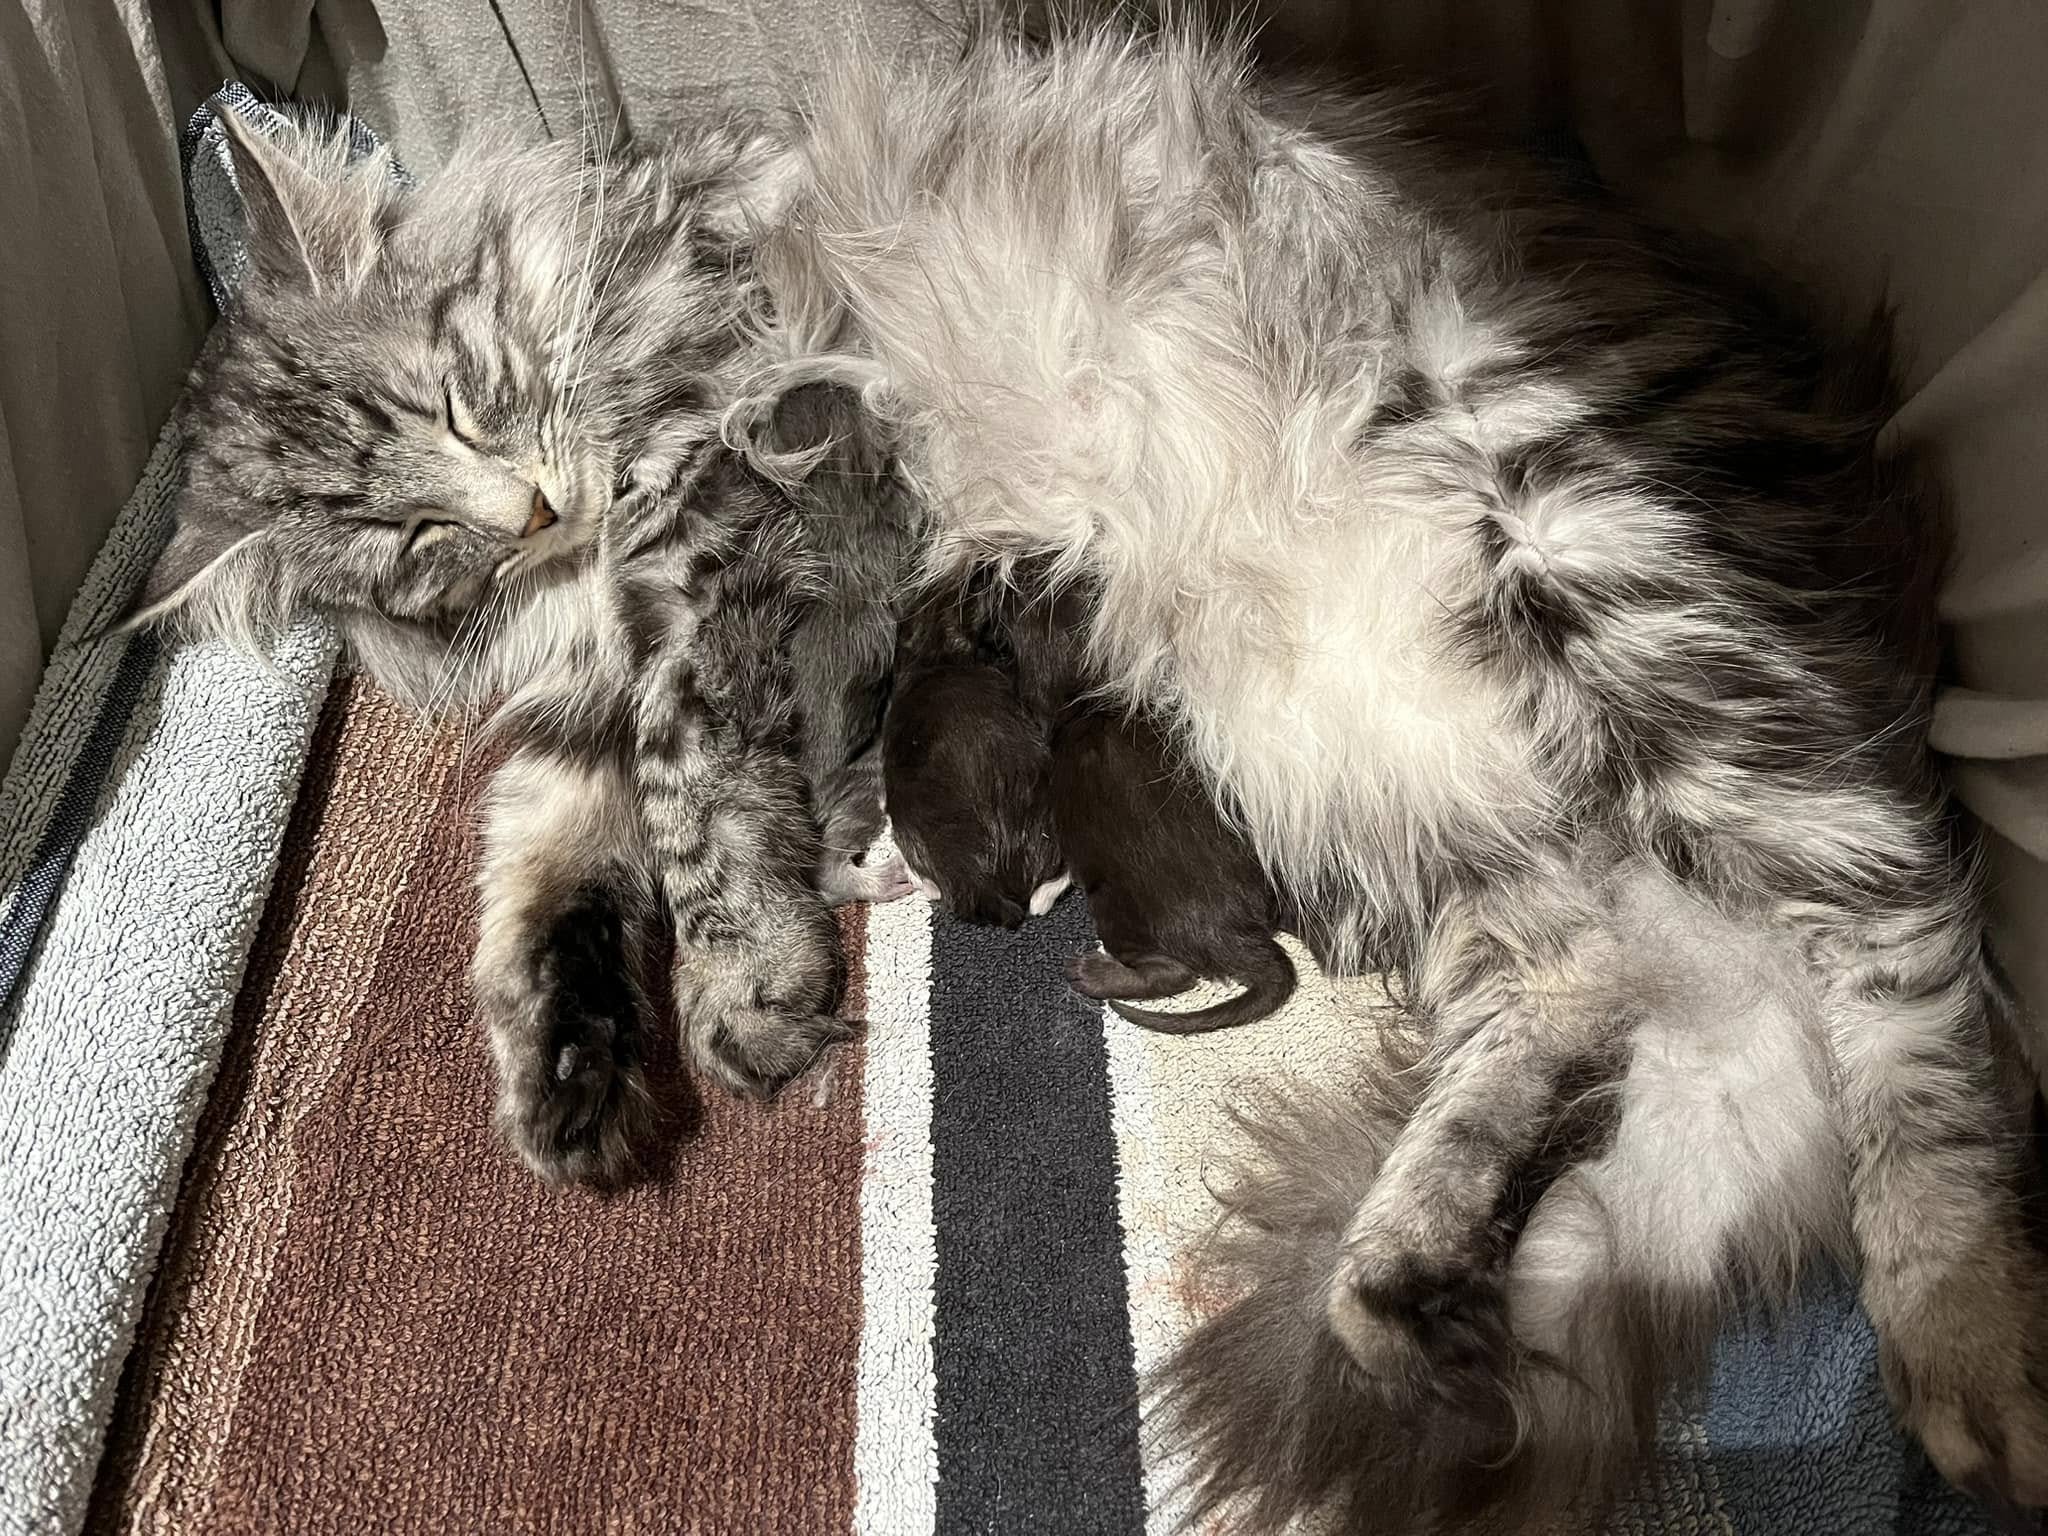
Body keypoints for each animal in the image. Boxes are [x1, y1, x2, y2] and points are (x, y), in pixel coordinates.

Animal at [124, 107, 904, 1185]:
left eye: (454, 406)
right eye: (410, 533)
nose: (531, 510)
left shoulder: (702, 555)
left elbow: (691, 802)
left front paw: (745, 973)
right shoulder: (588, 695)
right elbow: (542, 869)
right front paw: (566, 1062)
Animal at [748, 20, 2048, 1525]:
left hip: (1600, 564)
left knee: (1904, 936)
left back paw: (1962, 1332)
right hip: (1399, 808)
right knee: (1564, 1006)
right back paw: (1399, 1310)